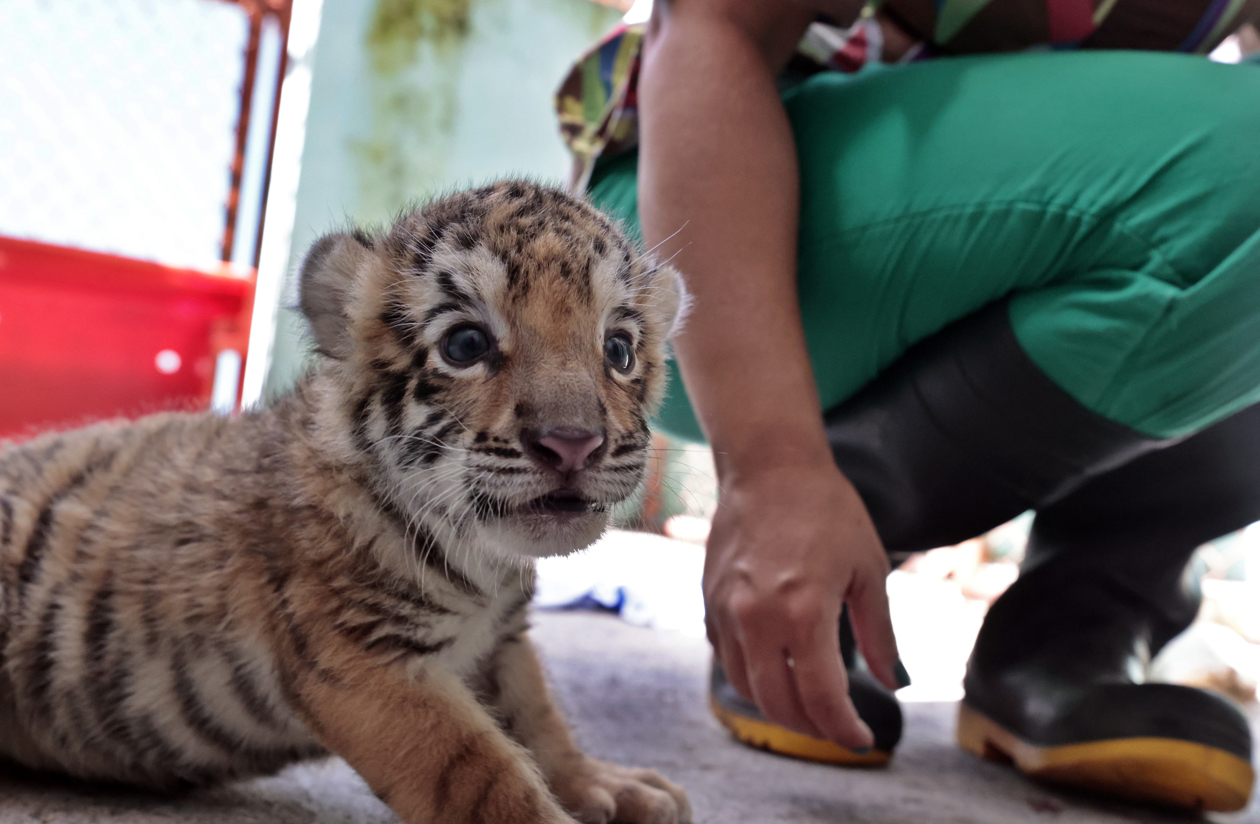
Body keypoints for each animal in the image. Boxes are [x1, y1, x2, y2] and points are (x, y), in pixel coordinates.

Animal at [0, 181, 692, 824]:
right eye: (466, 345)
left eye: (619, 349)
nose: (573, 443)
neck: (484, 561)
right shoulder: (363, 660)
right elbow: (487, 777)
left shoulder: (500, 641)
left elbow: (540, 720)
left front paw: (608, 786)